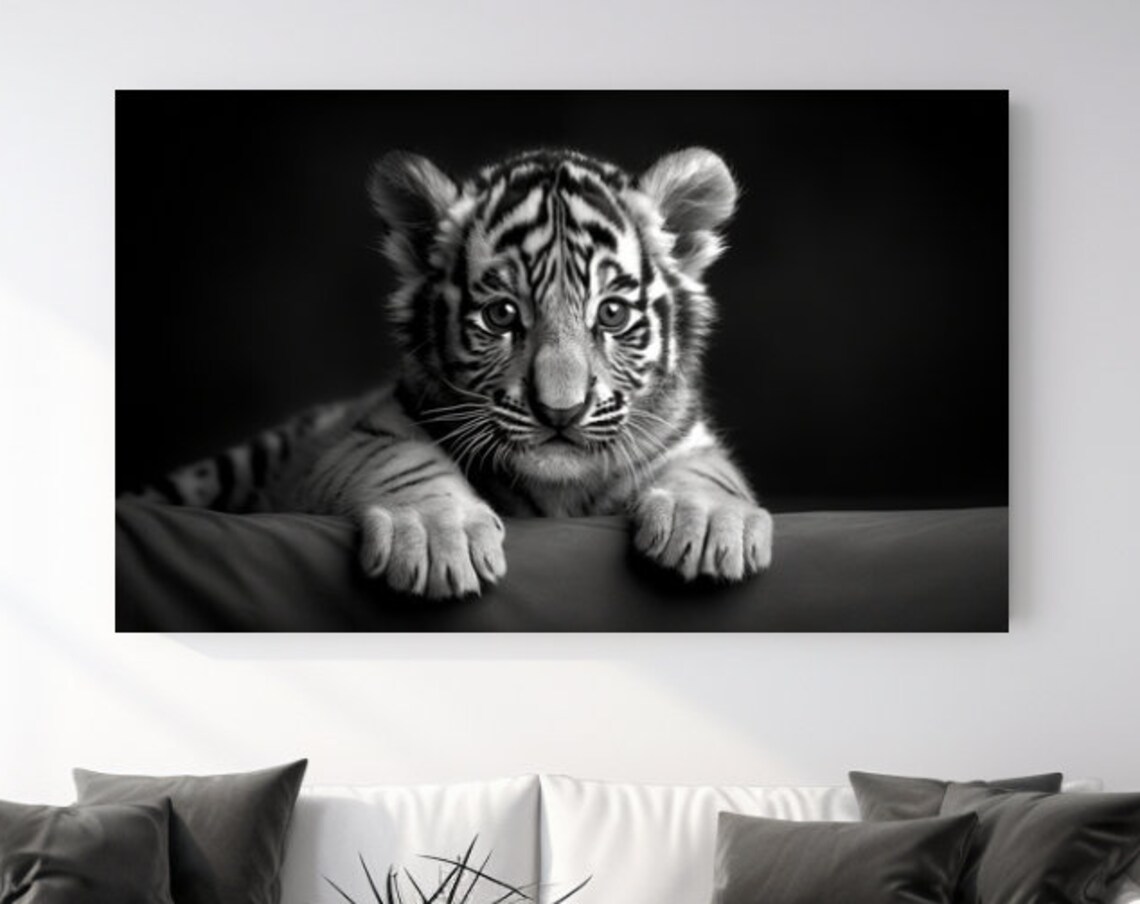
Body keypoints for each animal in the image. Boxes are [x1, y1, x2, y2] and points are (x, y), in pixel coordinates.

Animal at [128, 147, 773, 599]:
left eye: (611, 314)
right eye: (501, 315)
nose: (560, 411)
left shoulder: (684, 438)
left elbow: (710, 474)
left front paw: (709, 527)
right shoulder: (368, 432)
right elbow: (404, 463)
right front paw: (438, 538)